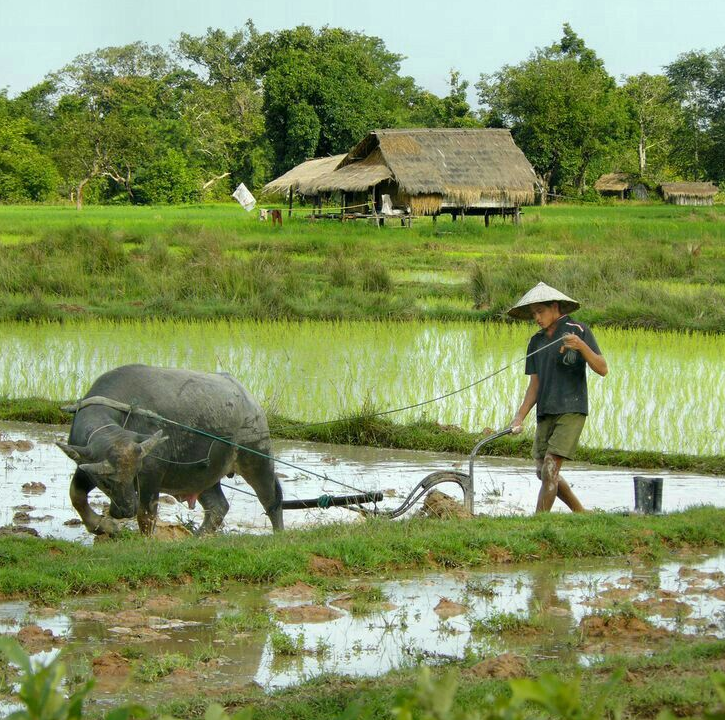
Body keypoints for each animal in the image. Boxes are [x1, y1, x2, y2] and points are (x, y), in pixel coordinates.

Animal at [57, 366, 282, 536]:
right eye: (105, 482)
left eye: (134, 473)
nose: (126, 509)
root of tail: (251, 402)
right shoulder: (86, 467)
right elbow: (76, 495)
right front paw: (104, 526)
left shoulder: (151, 475)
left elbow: (146, 515)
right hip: (201, 475)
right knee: (218, 506)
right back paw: (199, 536)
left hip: (257, 459)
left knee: (272, 499)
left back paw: (278, 534)